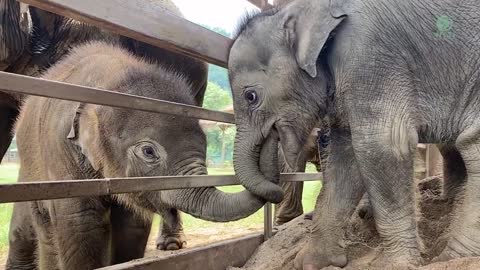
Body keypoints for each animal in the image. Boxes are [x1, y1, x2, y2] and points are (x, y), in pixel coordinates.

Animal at [227, 0, 480, 268]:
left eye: (250, 96)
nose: (275, 193)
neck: (302, 9)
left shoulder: (370, 55)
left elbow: (381, 144)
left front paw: (398, 265)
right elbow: (345, 157)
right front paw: (310, 262)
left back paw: (452, 255)